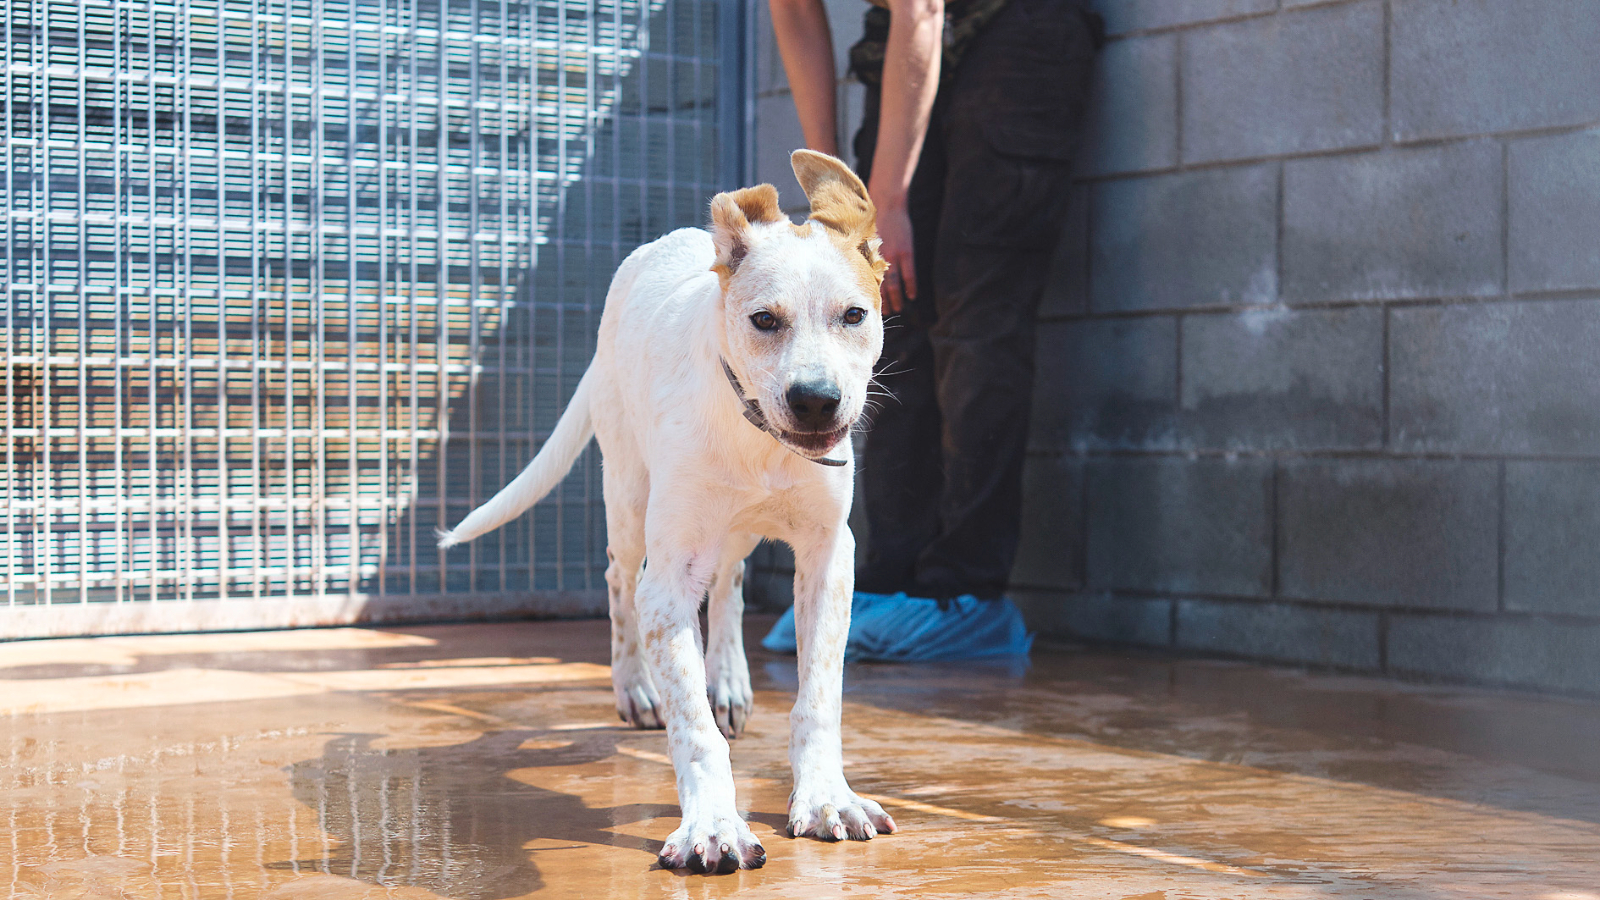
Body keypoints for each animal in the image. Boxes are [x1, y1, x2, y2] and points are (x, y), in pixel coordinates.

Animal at [437, 150, 896, 874]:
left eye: (854, 315)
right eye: (764, 321)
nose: (816, 401)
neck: (756, 438)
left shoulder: (829, 557)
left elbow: (819, 696)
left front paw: (826, 796)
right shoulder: (670, 575)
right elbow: (693, 725)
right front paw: (712, 824)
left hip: (728, 533)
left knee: (731, 581)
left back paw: (729, 680)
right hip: (629, 503)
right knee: (618, 580)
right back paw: (635, 687)